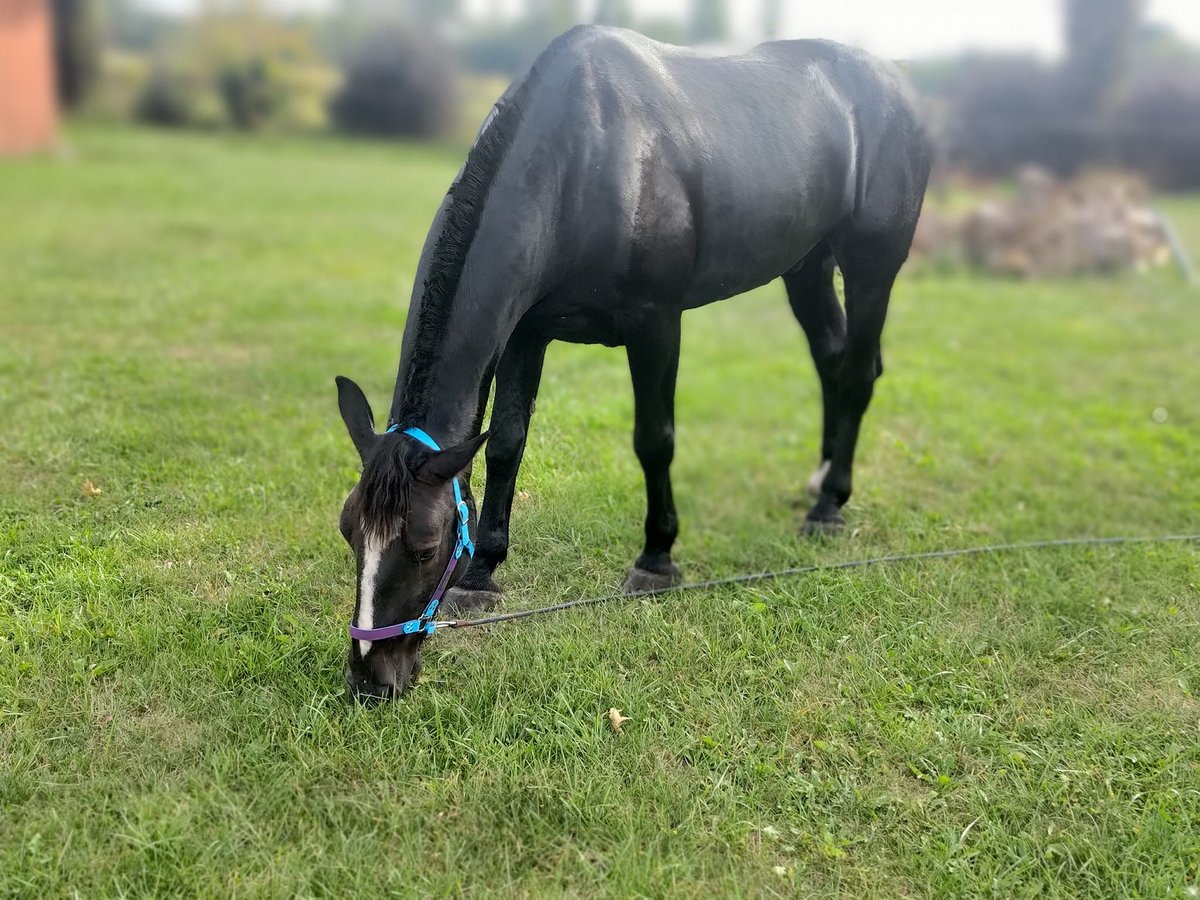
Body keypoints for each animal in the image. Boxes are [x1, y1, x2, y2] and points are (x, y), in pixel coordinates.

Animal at [333, 28, 931, 700]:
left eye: (425, 546)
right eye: (350, 530)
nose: (370, 678)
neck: (581, 160)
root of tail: (898, 85)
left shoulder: (656, 324)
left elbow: (655, 439)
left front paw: (656, 560)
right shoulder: (526, 334)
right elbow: (507, 443)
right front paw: (483, 572)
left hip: (871, 265)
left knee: (854, 373)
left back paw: (829, 505)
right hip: (807, 263)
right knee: (831, 362)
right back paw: (820, 481)